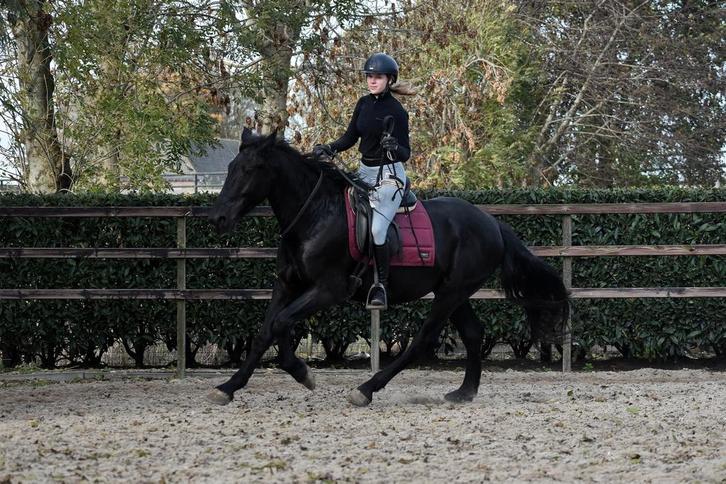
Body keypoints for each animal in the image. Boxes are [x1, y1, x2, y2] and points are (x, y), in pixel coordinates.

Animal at [207, 129, 570, 407]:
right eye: (231, 167)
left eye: (251, 169)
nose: (218, 218)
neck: (316, 215)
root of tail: (492, 223)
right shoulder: (287, 285)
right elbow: (266, 331)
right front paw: (228, 387)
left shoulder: (327, 290)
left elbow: (281, 323)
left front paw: (302, 372)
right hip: (454, 292)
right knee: (472, 333)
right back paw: (464, 392)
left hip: (451, 293)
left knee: (423, 339)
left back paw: (367, 390)